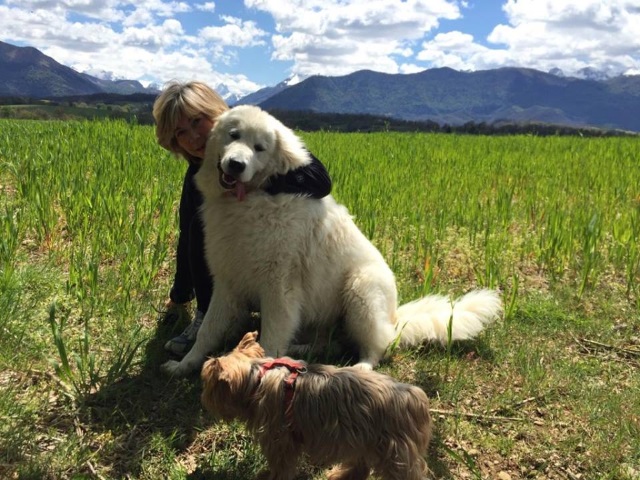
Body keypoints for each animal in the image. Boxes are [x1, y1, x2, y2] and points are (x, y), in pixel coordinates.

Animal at [162, 104, 502, 377]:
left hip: (360, 291)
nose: (236, 165)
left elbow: (269, 339)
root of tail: (395, 318)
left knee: (378, 346)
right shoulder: (227, 283)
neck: (249, 202)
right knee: (330, 344)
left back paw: (360, 367)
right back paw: (300, 352)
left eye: (259, 148)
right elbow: (206, 332)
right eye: (234, 135)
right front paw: (184, 365)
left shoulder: (279, 289)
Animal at [201, 331, 432, 480]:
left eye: (208, 385)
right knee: (361, 464)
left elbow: (280, 464)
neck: (257, 377)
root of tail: (416, 397)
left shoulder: (279, 438)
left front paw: (268, 476)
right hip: (366, 438)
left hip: (394, 452)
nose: (204, 398)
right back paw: (340, 475)